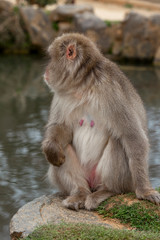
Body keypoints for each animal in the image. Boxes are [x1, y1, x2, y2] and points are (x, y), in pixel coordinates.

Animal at [42, 32, 160, 210]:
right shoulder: (61, 95)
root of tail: (92, 185)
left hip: (124, 180)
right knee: (65, 146)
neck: (82, 86)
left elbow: (133, 136)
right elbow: (61, 127)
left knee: (118, 141)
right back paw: (79, 193)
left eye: (51, 58)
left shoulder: (111, 90)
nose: (46, 69)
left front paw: (145, 191)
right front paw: (51, 149)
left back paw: (107, 190)